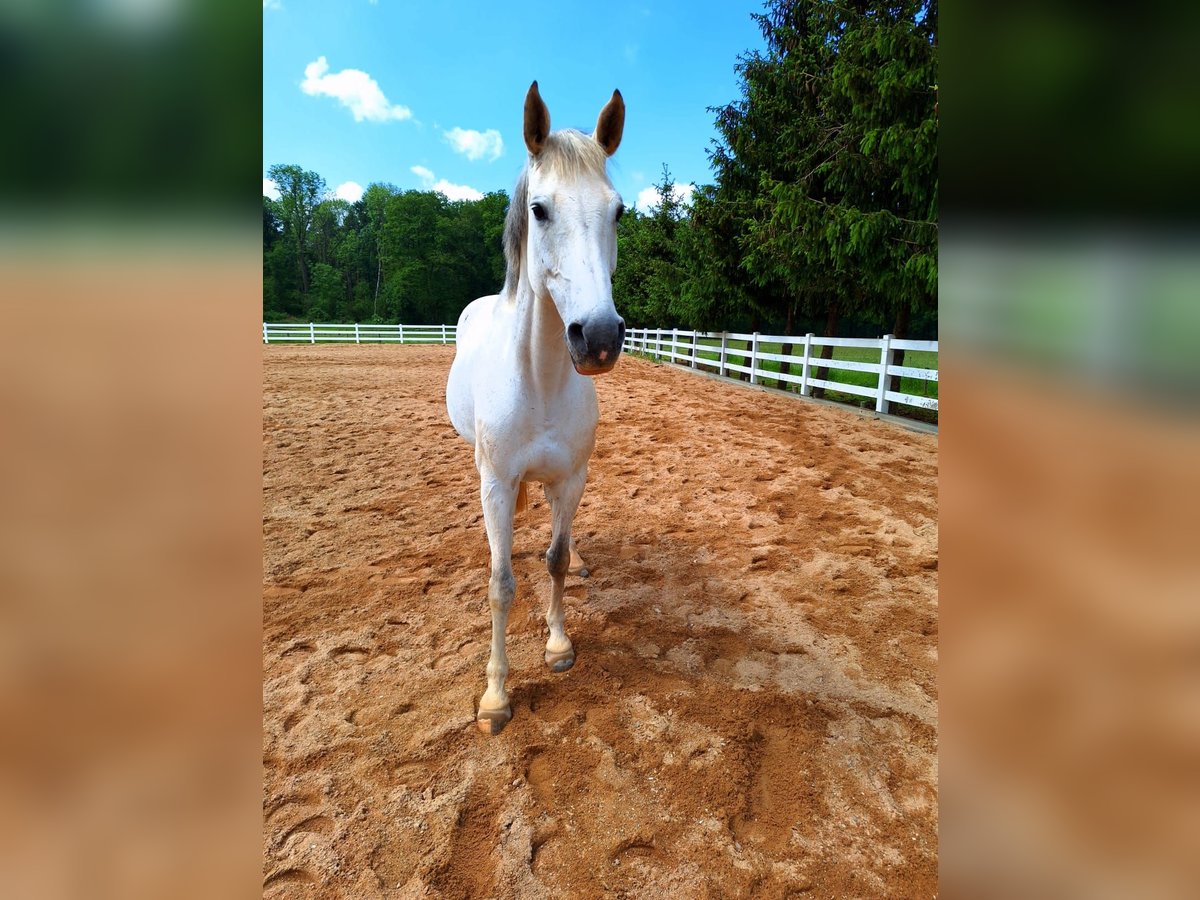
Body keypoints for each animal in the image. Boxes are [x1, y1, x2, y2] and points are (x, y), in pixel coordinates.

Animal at [446, 81, 624, 734]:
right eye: (540, 209)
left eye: (619, 211)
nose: (597, 336)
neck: (542, 379)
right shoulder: (498, 481)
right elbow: (501, 584)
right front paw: (496, 696)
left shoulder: (570, 478)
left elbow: (554, 560)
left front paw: (558, 644)